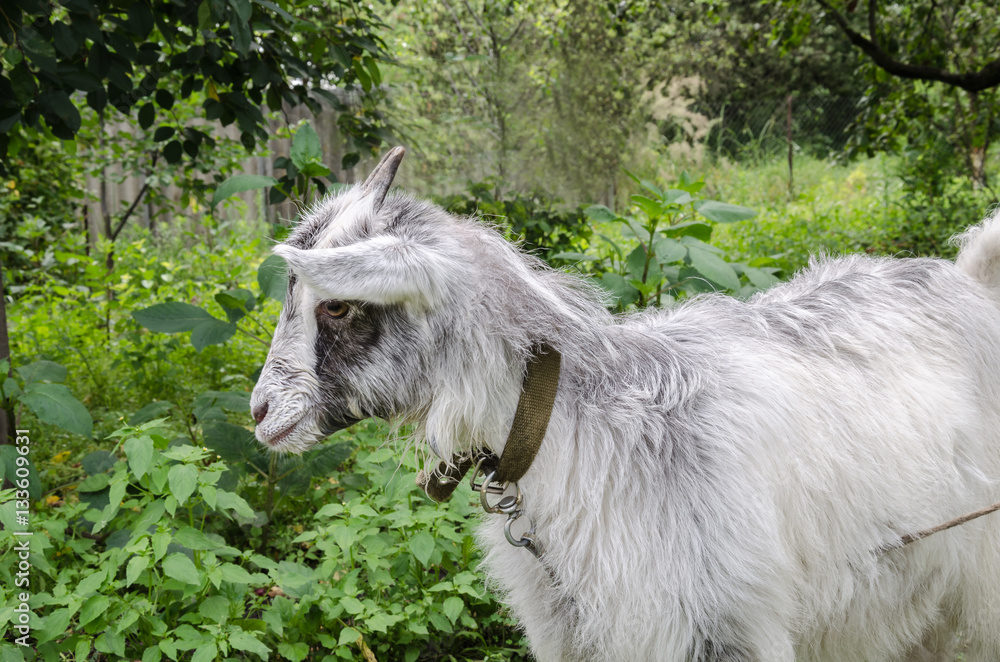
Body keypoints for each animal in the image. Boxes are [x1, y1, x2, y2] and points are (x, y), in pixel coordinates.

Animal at [251, 147, 1000, 662]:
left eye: (337, 305)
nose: (260, 412)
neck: (578, 424)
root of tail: (966, 281)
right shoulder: (570, 630)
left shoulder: (718, 625)